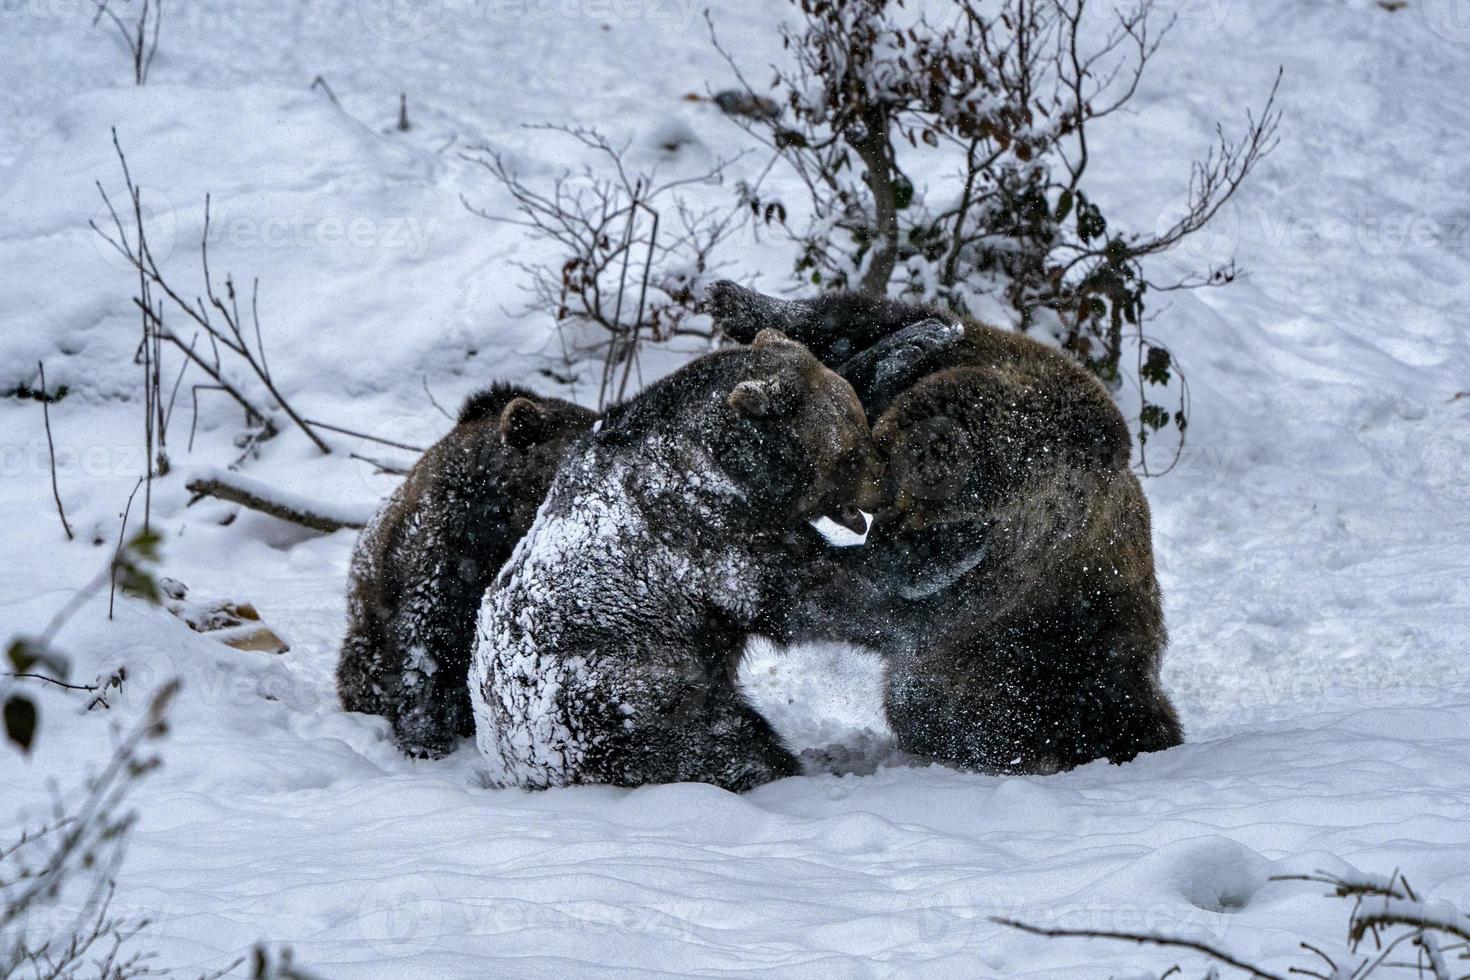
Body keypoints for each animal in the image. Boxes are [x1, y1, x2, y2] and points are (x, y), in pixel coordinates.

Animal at [470, 333, 882, 793]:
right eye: (850, 453)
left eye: (861, 421)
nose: (884, 480)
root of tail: (509, 763)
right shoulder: (707, 535)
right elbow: (806, 595)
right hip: (615, 702)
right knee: (722, 743)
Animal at [702, 282, 1181, 775]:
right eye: (889, 481)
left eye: (913, 509)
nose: (879, 532)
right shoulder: (990, 356)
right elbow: (867, 324)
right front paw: (741, 304)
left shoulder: (1021, 554)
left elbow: (904, 610)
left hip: (1044, 661)